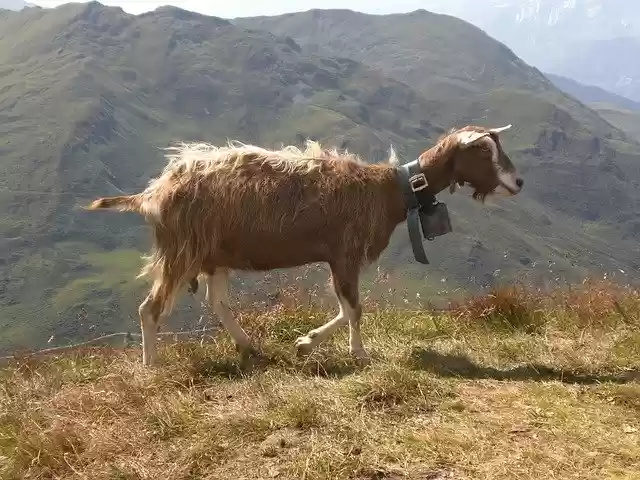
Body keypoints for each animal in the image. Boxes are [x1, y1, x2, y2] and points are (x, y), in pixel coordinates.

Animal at [86, 124, 523, 366]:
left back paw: (250, 347)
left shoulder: (339, 257)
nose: (518, 182)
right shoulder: (345, 254)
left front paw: (307, 343)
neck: (389, 190)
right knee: (150, 308)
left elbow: (347, 308)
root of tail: (153, 193)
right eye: (482, 149)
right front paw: (353, 353)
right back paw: (152, 367)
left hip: (213, 255)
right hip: (181, 251)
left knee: (216, 302)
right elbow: (354, 308)